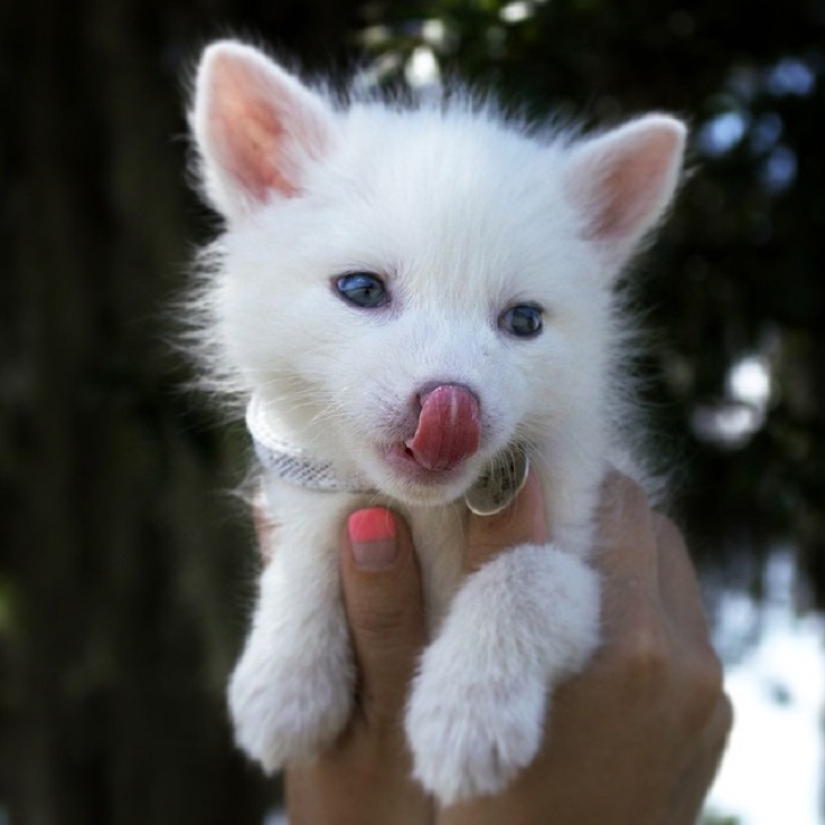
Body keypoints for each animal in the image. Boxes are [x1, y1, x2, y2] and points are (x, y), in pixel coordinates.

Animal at [185, 39, 687, 805]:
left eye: (524, 321)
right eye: (361, 289)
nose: (452, 407)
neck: (427, 515)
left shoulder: (593, 560)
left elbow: (526, 573)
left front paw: (467, 709)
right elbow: (309, 546)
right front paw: (285, 675)